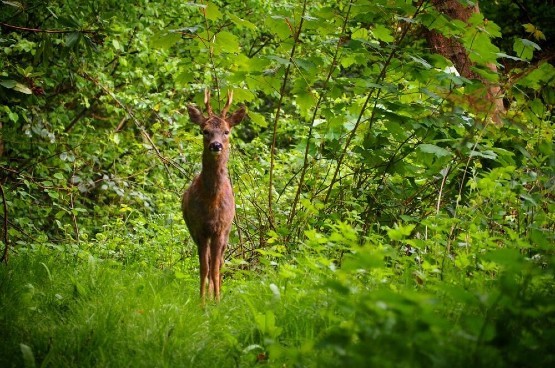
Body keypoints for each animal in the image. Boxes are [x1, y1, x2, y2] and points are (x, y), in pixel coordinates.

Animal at [182, 88, 245, 302]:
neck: (211, 202)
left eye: (227, 131)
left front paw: (217, 301)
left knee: (220, 263)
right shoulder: (199, 229)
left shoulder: (220, 228)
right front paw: (202, 301)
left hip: (227, 232)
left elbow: (215, 269)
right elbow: (204, 268)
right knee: (209, 263)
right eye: (205, 131)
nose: (216, 145)